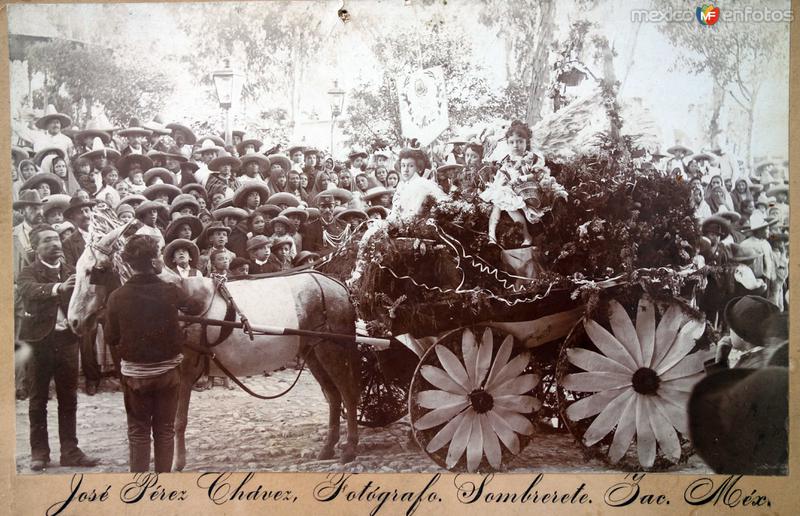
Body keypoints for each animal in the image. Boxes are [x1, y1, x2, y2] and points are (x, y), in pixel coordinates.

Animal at [67, 214, 360, 468]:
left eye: (96, 270)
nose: (74, 321)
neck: (179, 302)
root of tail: (335, 284)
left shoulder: (182, 374)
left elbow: (177, 421)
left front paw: (176, 463)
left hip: (332, 350)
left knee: (347, 393)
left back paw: (349, 449)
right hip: (313, 353)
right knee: (334, 396)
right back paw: (328, 448)